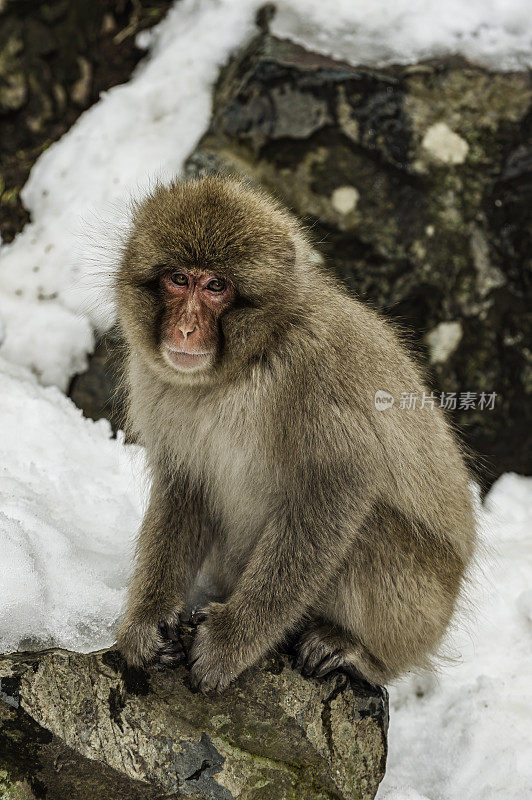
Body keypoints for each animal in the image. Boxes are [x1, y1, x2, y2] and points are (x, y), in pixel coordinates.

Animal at [115, 175, 474, 692]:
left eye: (217, 286)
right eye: (178, 279)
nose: (184, 329)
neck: (241, 366)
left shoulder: (316, 374)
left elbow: (334, 490)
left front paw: (231, 640)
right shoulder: (156, 382)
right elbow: (185, 489)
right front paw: (148, 620)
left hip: (422, 604)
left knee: (373, 526)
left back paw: (359, 652)